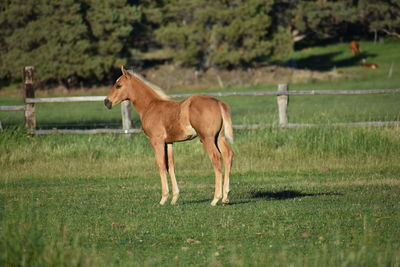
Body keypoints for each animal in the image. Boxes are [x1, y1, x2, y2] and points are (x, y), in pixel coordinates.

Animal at [104, 67, 234, 207]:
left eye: (118, 85)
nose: (106, 102)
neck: (150, 106)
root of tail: (218, 102)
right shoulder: (169, 143)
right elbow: (170, 166)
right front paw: (174, 198)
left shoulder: (157, 141)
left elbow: (161, 165)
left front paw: (163, 198)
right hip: (219, 138)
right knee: (228, 155)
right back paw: (225, 197)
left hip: (207, 138)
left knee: (216, 158)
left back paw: (216, 198)